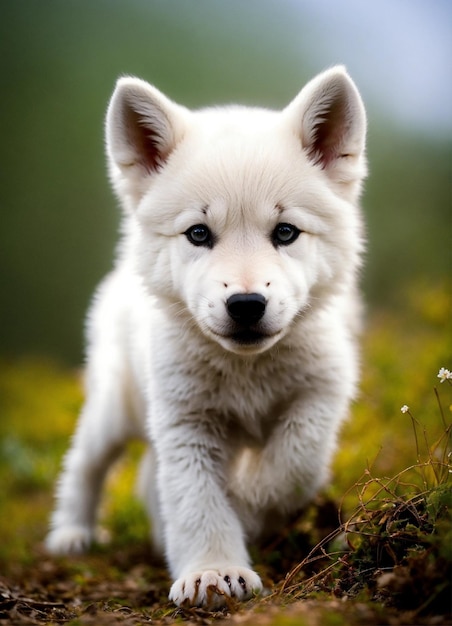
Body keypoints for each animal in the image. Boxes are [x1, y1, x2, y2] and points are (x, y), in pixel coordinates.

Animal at [45, 67, 368, 604]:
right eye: (198, 233)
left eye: (285, 232)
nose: (246, 305)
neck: (247, 368)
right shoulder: (185, 423)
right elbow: (197, 501)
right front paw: (214, 571)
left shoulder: (321, 395)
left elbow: (294, 464)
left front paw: (252, 506)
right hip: (117, 408)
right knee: (85, 464)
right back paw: (72, 532)